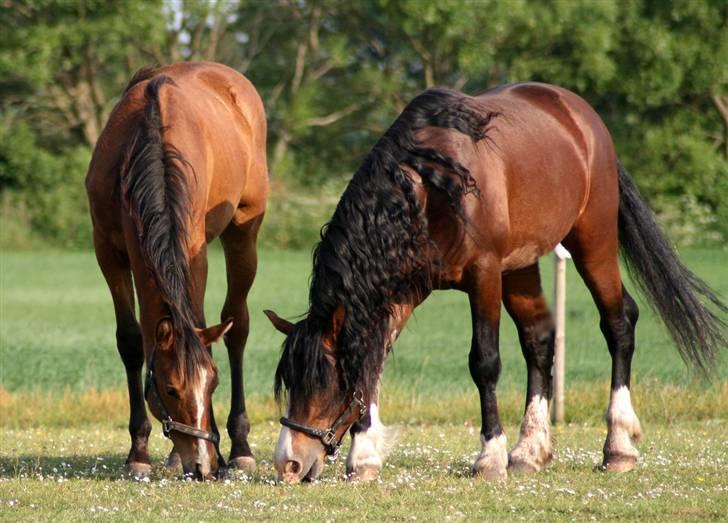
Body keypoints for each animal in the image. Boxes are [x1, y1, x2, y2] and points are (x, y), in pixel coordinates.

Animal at [85, 61, 268, 478]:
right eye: (170, 389)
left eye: (213, 384)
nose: (202, 465)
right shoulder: (108, 252)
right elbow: (130, 340)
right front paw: (139, 452)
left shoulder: (194, 252)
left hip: (243, 234)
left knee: (237, 325)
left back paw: (241, 447)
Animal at [264, 83, 724, 484]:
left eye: (323, 381)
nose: (289, 464)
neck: (429, 186)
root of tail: (583, 118)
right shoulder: (400, 291)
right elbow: (371, 363)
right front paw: (363, 458)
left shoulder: (482, 275)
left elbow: (484, 362)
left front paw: (489, 457)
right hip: (519, 267)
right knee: (539, 338)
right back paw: (530, 451)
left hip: (592, 241)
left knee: (619, 323)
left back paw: (618, 446)